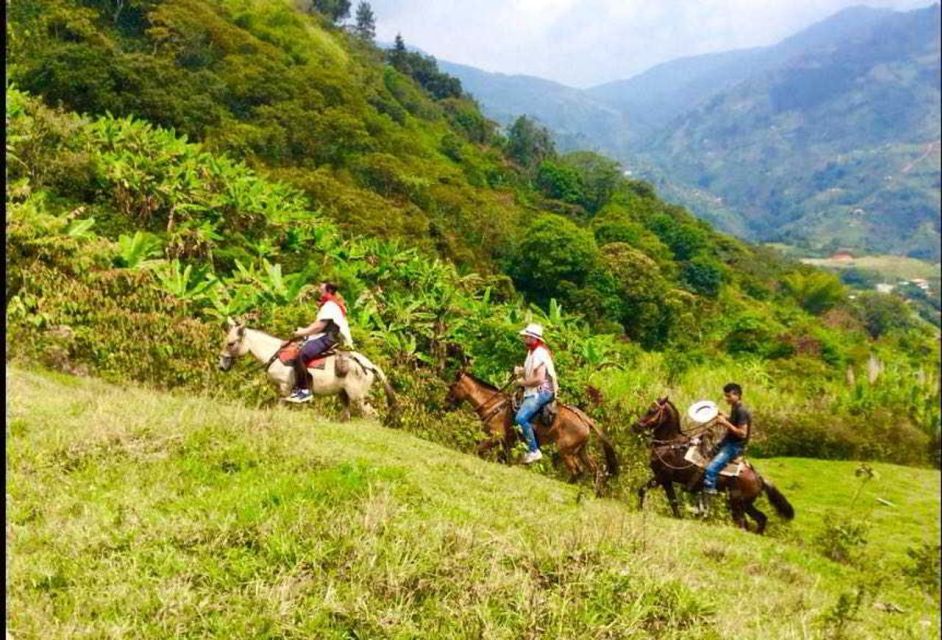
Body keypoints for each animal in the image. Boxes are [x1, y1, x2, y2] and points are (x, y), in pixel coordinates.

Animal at [218, 316, 394, 418]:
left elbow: (281, 405)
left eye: (231, 343)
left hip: (357, 395)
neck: (274, 354)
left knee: (371, 414)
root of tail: (369, 365)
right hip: (344, 394)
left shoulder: (285, 386)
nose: (221, 366)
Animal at [448, 370, 624, 490]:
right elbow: (502, 459)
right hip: (581, 450)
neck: (495, 405)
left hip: (566, 450)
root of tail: (585, 419)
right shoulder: (508, 441)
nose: (446, 403)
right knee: (595, 469)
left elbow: (477, 449)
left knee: (577, 470)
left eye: (452, 387)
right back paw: (594, 492)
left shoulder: (497, 437)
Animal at [636, 398, 796, 532]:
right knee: (761, 518)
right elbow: (673, 501)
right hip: (746, 504)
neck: (671, 444)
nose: (636, 426)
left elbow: (642, 490)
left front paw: (639, 509)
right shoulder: (666, 480)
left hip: (736, 503)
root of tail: (759, 478)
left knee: (743, 523)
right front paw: (678, 517)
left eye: (651, 410)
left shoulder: (662, 476)